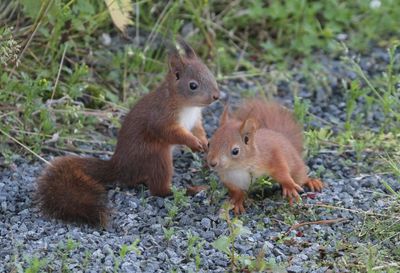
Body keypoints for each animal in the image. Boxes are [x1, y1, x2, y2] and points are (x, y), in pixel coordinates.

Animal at [36, 38, 220, 225]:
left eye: (210, 74)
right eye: (193, 85)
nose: (216, 96)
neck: (187, 106)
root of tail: (119, 166)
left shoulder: (195, 119)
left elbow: (198, 129)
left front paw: (204, 142)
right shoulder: (161, 117)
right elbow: (171, 133)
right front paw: (193, 143)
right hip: (157, 157)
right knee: (158, 189)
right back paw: (189, 190)